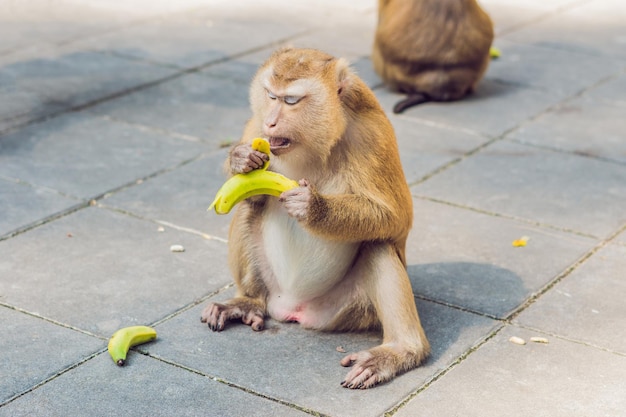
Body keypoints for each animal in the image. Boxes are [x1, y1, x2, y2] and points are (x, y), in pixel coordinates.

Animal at [201, 47, 428, 388]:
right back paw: (248, 302)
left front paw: (313, 207)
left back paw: (401, 350)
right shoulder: (256, 128)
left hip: (349, 309)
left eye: (291, 101)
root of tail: (291, 308)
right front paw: (240, 159)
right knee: (246, 209)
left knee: (377, 245)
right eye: (271, 96)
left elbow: (396, 217)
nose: (270, 123)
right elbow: (251, 194)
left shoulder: (372, 133)